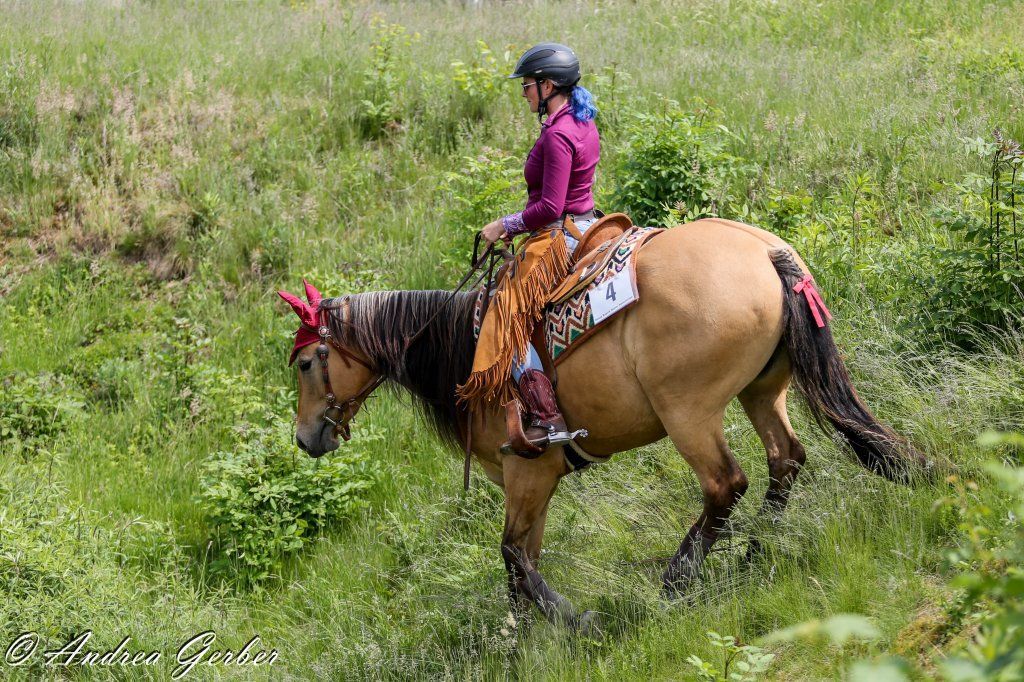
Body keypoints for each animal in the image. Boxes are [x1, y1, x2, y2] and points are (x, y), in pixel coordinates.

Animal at [282, 218, 929, 632]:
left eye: (309, 363)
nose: (306, 437)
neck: (462, 352)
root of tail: (765, 252)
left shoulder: (528, 470)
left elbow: (514, 556)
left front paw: (573, 621)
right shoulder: (533, 482)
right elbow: (523, 560)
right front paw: (520, 638)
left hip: (688, 411)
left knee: (726, 484)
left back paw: (677, 580)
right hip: (763, 391)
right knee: (785, 459)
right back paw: (754, 553)